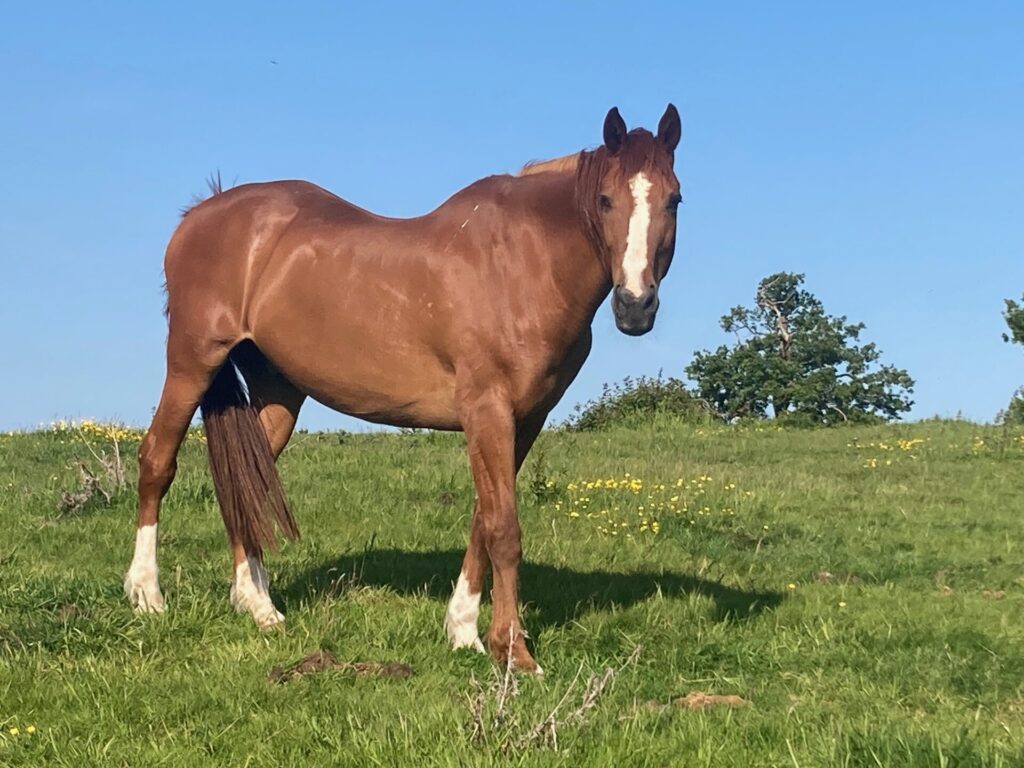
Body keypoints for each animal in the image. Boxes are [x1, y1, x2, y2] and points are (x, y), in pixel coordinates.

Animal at [125, 103, 679, 671]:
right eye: (605, 200)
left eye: (673, 199)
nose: (636, 305)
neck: (523, 263)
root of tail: (201, 215)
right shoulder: (487, 410)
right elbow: (504, 528)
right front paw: (514, 651)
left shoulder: (525, 419)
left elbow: (483, 518)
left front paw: (464, 630)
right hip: (192, 363)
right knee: (157, 460)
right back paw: (147, 594)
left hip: (278, 390)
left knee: (247, 482)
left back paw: (259, 606)